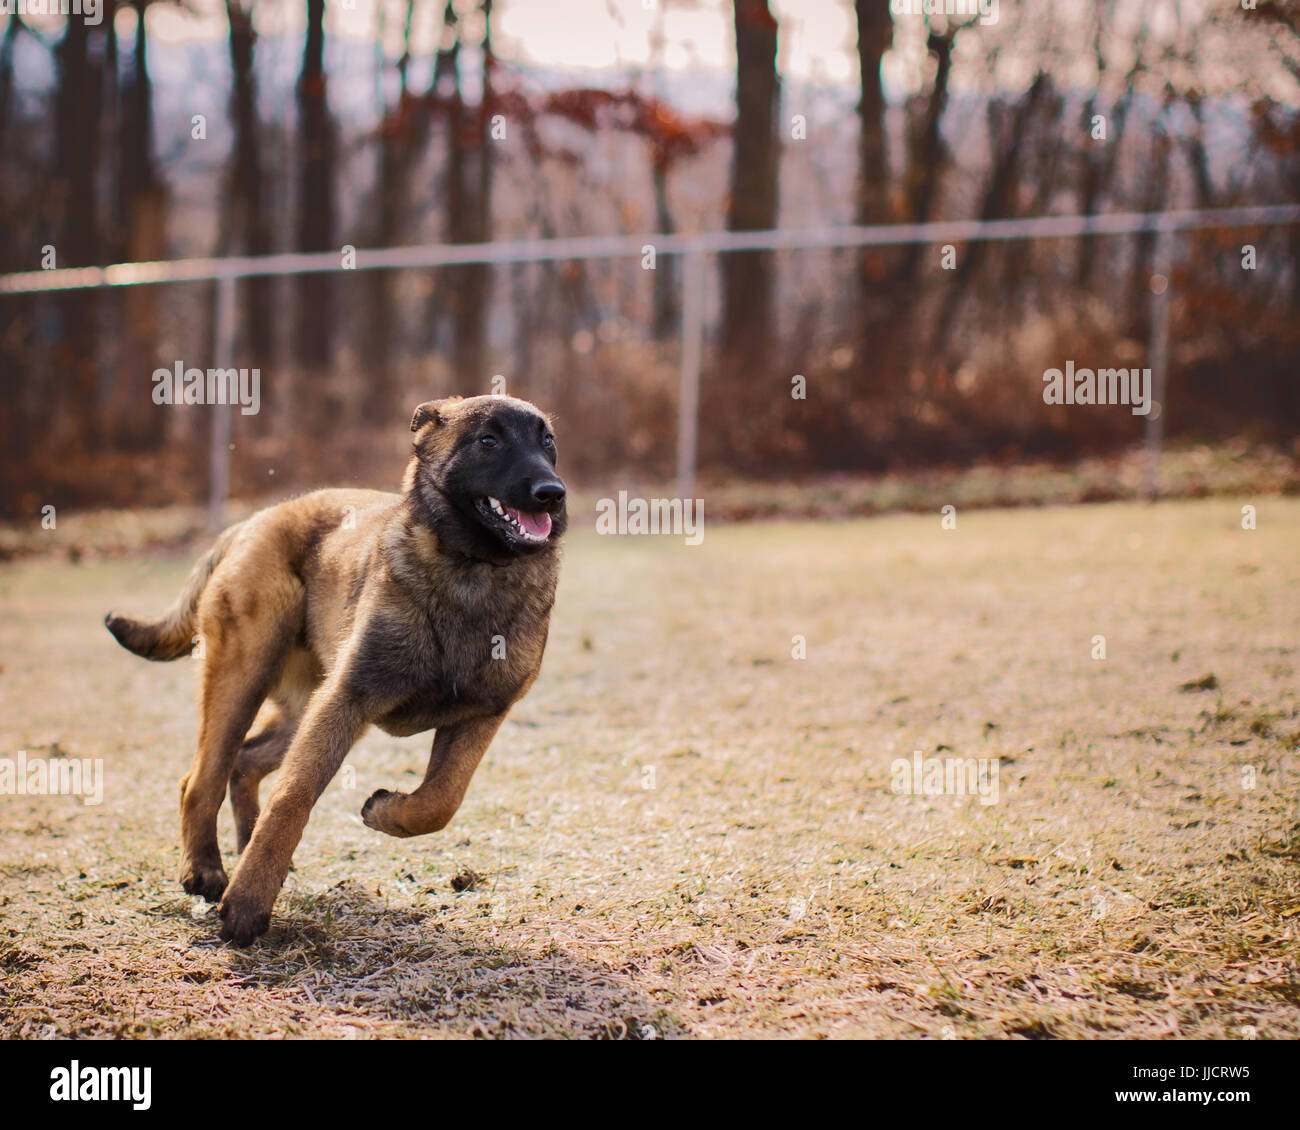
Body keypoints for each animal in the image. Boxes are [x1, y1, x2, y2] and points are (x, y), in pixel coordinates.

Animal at [105, 397, 564, 941]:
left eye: (547, 442)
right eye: (488, 441)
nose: (552, 494)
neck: (471, 570)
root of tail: (255, 520)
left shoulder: (480, 716)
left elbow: (441, 800)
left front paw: (386, 811)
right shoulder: (346, 699)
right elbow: (292, 797)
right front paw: (248, 904)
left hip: (302, 709)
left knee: (243, 763)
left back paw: (243, 849)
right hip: (247, 679)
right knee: (201, 778)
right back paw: (205, 870)